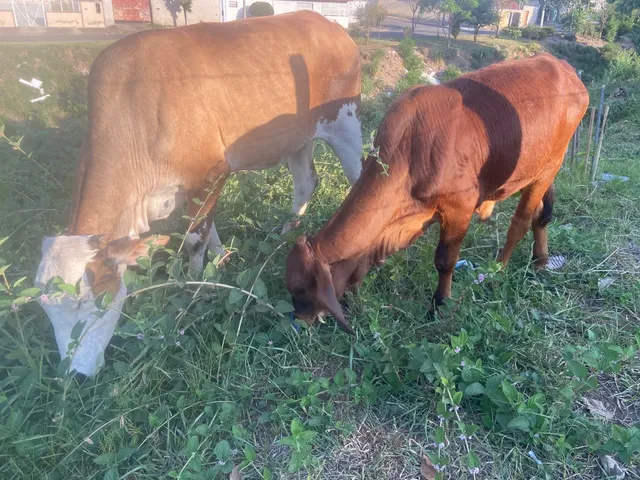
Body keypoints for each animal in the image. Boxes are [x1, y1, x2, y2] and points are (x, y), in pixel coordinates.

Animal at [34, 11, 363, 377]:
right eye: (44, 309)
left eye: (82, 302)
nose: (73, 373)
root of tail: (327, 22)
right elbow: (207, 228)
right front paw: (221, 258)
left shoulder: (212, 171)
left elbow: (195, 238)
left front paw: (195, 288)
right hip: (298, 136)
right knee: (306, 181)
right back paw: (286, 232)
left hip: (345, 121)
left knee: (360, 176)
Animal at [285, 53, 589, 334]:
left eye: (300, 289)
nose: (298, 320)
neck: (408, 152)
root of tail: (562, 66)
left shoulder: (460, 207)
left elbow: (445, 261)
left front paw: (439, 304)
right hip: (536, 170)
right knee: (541, 215)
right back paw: (540, 260)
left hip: (550, 167)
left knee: (521, 222)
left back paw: (497, 270)